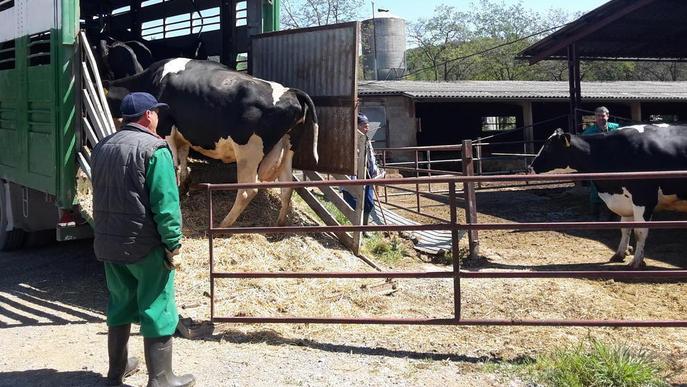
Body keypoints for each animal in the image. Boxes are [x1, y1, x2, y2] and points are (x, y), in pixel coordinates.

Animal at [106, 57, 322, 227]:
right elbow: (183, 160)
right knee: (287, 186)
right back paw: (280, 224)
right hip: (288, 147)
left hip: (249, 151)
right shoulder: (184, 133)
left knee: (247, 190)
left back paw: (223, 224)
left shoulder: (166, 128)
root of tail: (291, 91)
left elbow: (174, 163)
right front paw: (184, 187)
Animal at [528, 126, 687, 268]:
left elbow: (640, 232)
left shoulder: (643, 198)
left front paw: (636, 262)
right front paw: (620, 254)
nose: (530, 167)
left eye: (549, 147)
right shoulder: (625, 201)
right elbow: (625, 229)